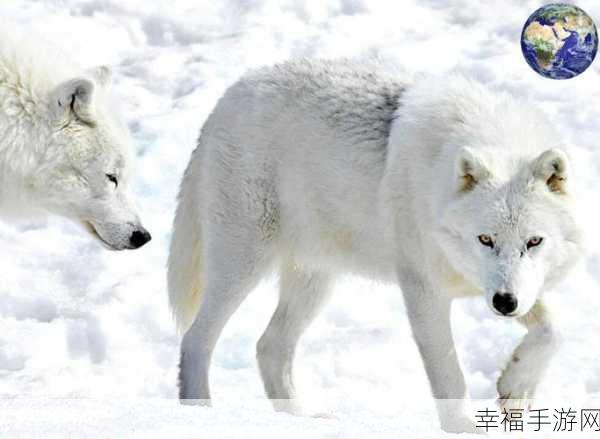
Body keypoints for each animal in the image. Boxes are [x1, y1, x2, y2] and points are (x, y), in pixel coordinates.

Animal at [166, 60, 584, 434]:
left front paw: (515, 389)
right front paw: (464, 428)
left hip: (315, 282)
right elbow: (449, 373)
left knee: (270, 347)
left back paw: (300, 421)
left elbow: (553, 331)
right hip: (242, 264)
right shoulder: (423, 290)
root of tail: (229, 95)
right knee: (197, 339)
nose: (504, 304)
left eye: (533, 241)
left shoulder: (514, 288)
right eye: (486, 239)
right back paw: (201, 415)